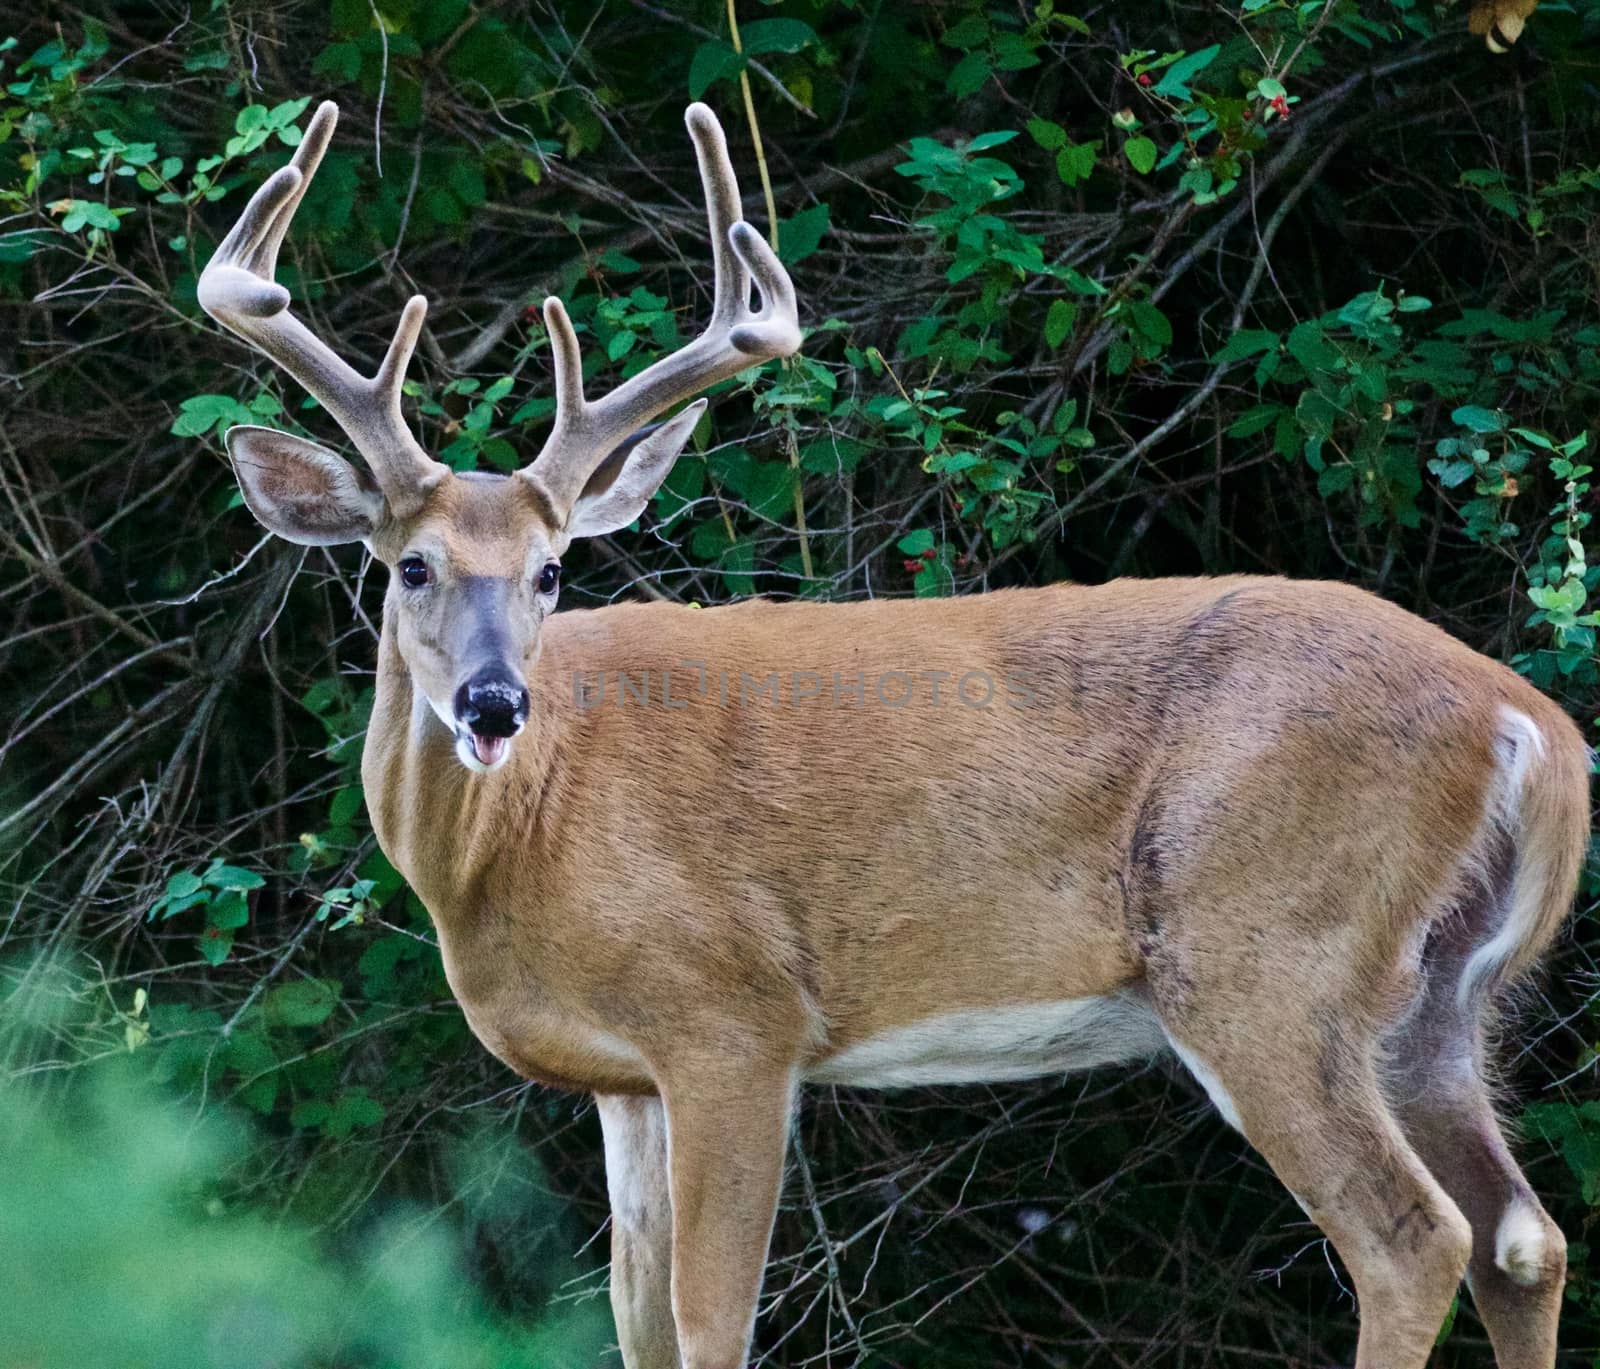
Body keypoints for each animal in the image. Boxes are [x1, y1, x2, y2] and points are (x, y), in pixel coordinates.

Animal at [196, 98, 1587, 1369]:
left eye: (549, 572)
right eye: (411, 566)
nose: (494, 703)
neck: (524, 835)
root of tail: (1528, 719)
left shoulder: (734, 1017)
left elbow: (707, 1321)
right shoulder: (623, 1077)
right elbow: (634, 1323)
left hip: (1269, 948)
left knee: (1412, 1237)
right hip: (1435, 992)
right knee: (1521, 1234)